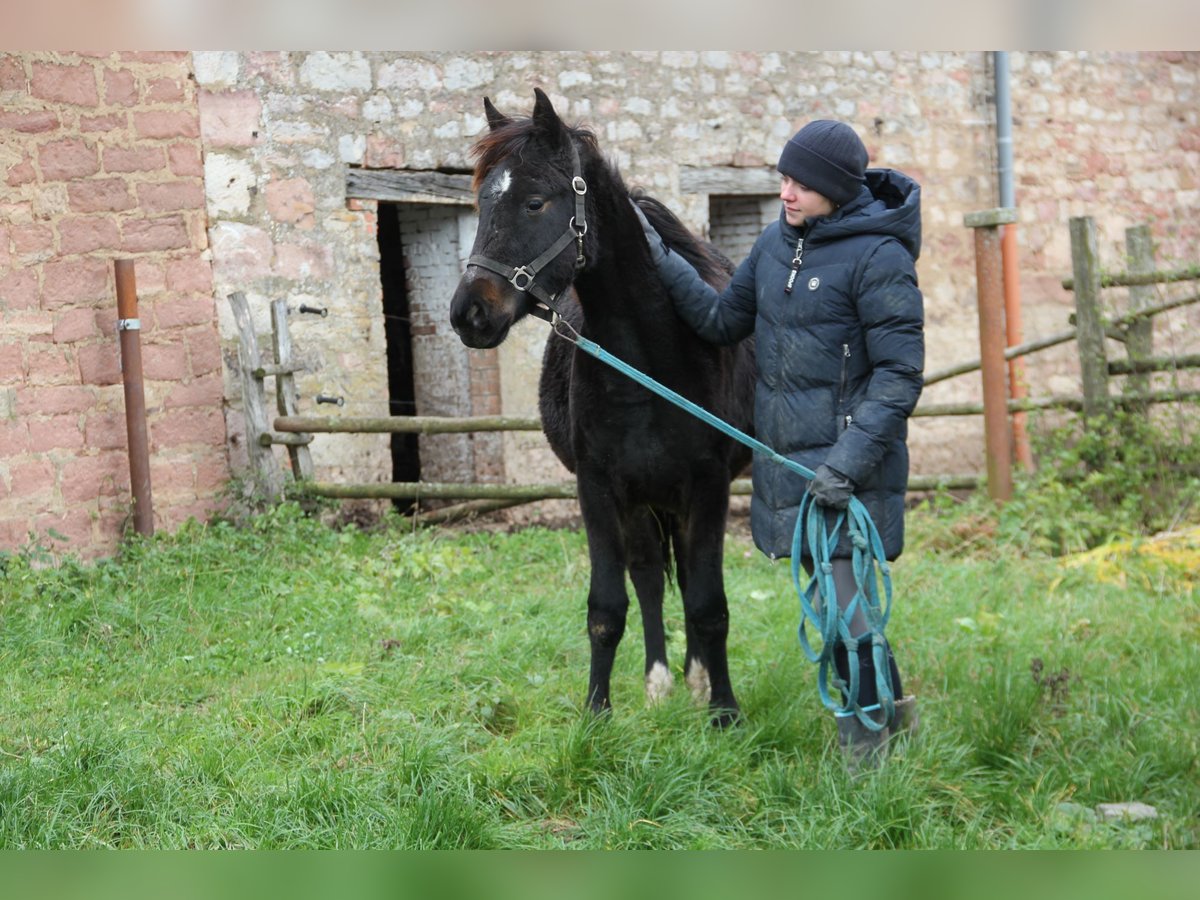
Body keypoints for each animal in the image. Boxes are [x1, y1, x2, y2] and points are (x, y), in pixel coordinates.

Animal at [446, 90, 753, 724]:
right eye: (482, 202)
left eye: (534, 201)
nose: (470, 314)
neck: (651, 362)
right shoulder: (598, 486)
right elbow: (608, 606)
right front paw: (597, 713)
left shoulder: (709, 485)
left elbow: (709, 602)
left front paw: (724, 710)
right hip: (641, 500)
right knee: (650, 578)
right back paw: (661, 681)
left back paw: (696, 680)